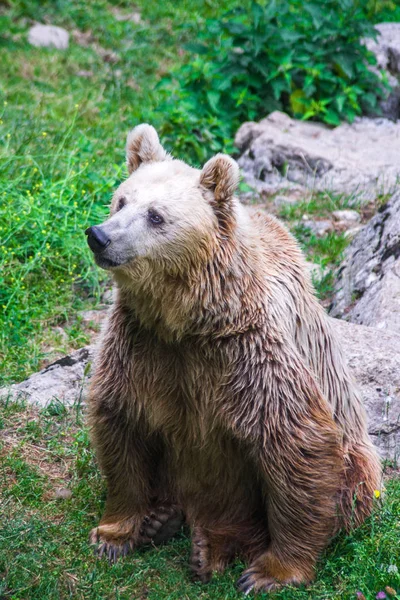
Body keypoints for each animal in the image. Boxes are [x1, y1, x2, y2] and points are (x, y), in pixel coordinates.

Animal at [85, 124, 382, 592]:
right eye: (122, 199)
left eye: (156, 216)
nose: (100, 235)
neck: (188, 318)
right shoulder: (142, 344)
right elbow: (122, 419)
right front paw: (113, 534)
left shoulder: (249, 353)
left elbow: (294, 443)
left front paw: (271, 572)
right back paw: (163, 519)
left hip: (355, 453)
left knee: (348, 483)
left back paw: (210, 548)